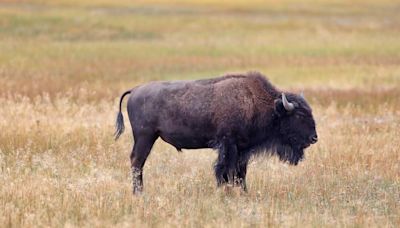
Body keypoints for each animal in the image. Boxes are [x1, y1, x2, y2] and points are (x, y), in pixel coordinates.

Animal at [114, 72, 318, 193]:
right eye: (299, 115)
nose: (314, 138)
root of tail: (135, 90)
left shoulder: (242, 150)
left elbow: (240, 172)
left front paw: (243, 191)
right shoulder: (228, 145)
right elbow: (225, 170)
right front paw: (225, 190)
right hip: (145, 137)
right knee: (137, 161)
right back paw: (139, 193)